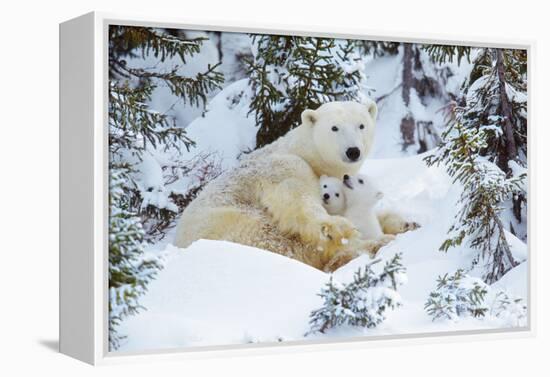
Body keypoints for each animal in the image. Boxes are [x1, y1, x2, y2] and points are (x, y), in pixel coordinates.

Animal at [175, 100, 412, 270]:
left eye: (361, 125)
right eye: (334, 128)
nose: (353, 151)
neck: (306, 153)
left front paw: (403, 222)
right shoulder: (284, 165)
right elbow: (296, 200)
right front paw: (338, 228)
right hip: (235, 224)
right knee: (280, 241)